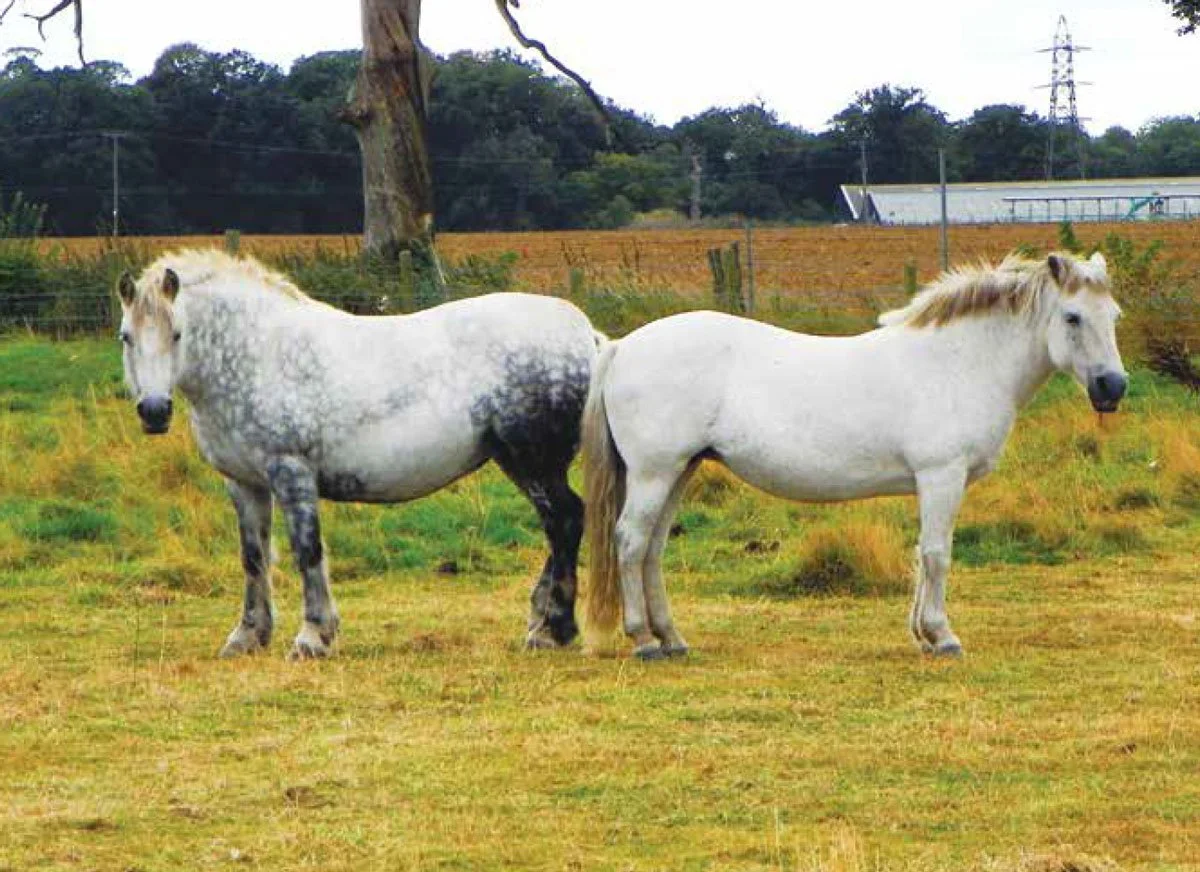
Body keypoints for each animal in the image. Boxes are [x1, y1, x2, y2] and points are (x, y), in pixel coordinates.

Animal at [116, 249, 604, 659]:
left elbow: (307, 550)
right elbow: (254, 557)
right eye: (126, 337)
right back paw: (540, 620)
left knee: (564, 521)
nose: (154, 411)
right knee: (561, 527)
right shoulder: (244, 483)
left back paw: (553, 629)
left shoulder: (291, 472)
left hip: (534, 463)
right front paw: (248, 636)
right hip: (520, 463)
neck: (260, 353)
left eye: (177, 333)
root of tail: (588, 336)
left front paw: (314, 636)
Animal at [582, 251, 1127, 660]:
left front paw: (922, 635)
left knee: (652, 548)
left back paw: (671, 638)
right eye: (1073, 317)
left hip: (680, 471)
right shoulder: (941, 476)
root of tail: (622, 346)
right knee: (630, 542)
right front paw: (942, 635)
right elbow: (937, 553)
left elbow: (922, 554)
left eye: (1115, 316)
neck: (958, 362)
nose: (1113, 387)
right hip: (655, 473)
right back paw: (644, 640)